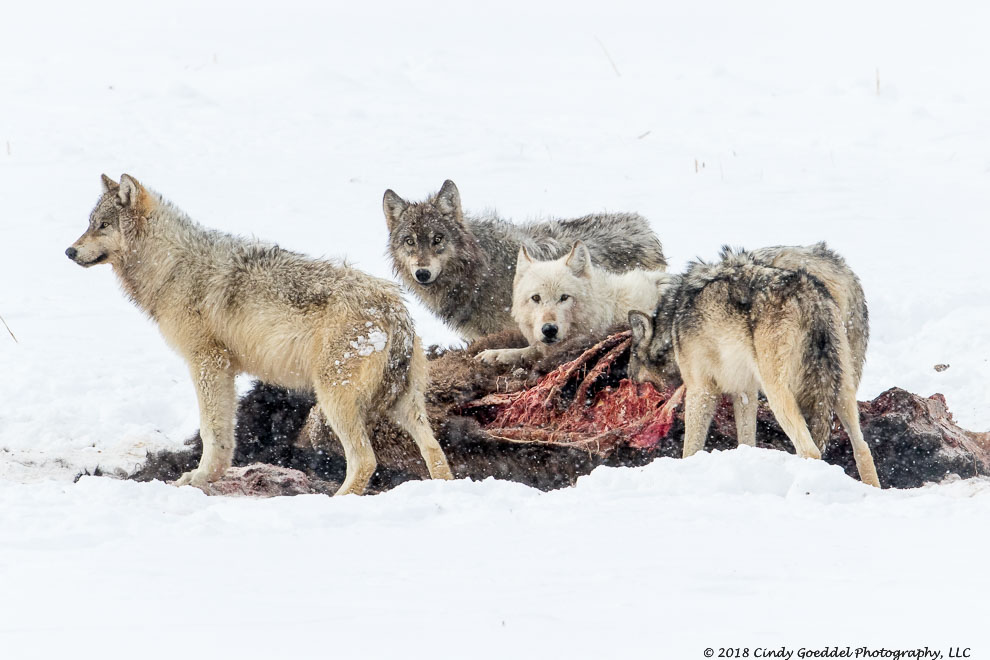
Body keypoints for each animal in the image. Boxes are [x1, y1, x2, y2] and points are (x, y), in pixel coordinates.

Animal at [632, 245, 880, 488]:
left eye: (637, 385)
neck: (671, 326)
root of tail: (807, 294)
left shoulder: (700, 390)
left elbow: (690, 448)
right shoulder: (745, 392)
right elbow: (747, 440)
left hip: (778, 394)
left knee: (810, 450)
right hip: (841, 390)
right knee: (863, 448)